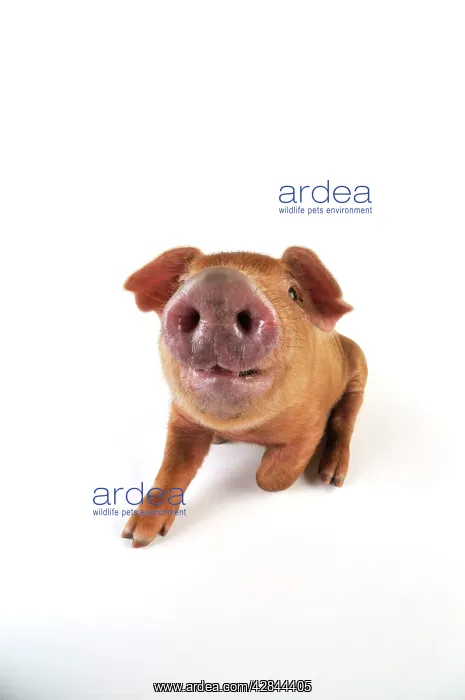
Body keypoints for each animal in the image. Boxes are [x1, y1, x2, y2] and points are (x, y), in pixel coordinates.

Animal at [122, 246, 367, 547]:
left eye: (293, 293)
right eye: (181, 283)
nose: (218, 285)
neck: (246, 429)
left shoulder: (312, 424)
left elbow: (269, 479)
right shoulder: (182, 417)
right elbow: (172, 466)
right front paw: (134, 538)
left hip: (359, 363)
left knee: (348, 414)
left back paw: (331, 477)